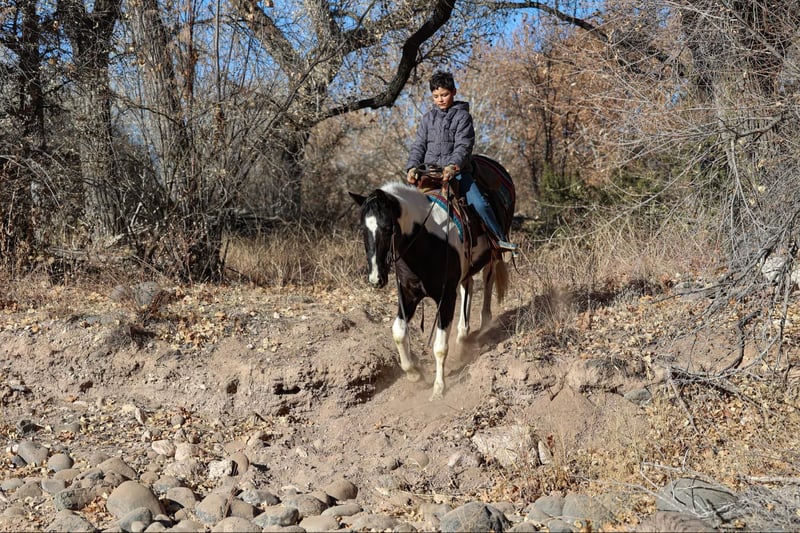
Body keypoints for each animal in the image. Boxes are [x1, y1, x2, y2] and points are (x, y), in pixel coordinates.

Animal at [349, 155, 515, 400]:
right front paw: (414, 374)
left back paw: (483, 322)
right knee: (467, 284)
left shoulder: (445, 298)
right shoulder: (408, 293)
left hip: (494, 253)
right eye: (363, 228)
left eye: (388, 228)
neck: (426, 242)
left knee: (487, 279)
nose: (376, 279)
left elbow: (440, 347)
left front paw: (439, 388)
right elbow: (398, 332)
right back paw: (463, 336)